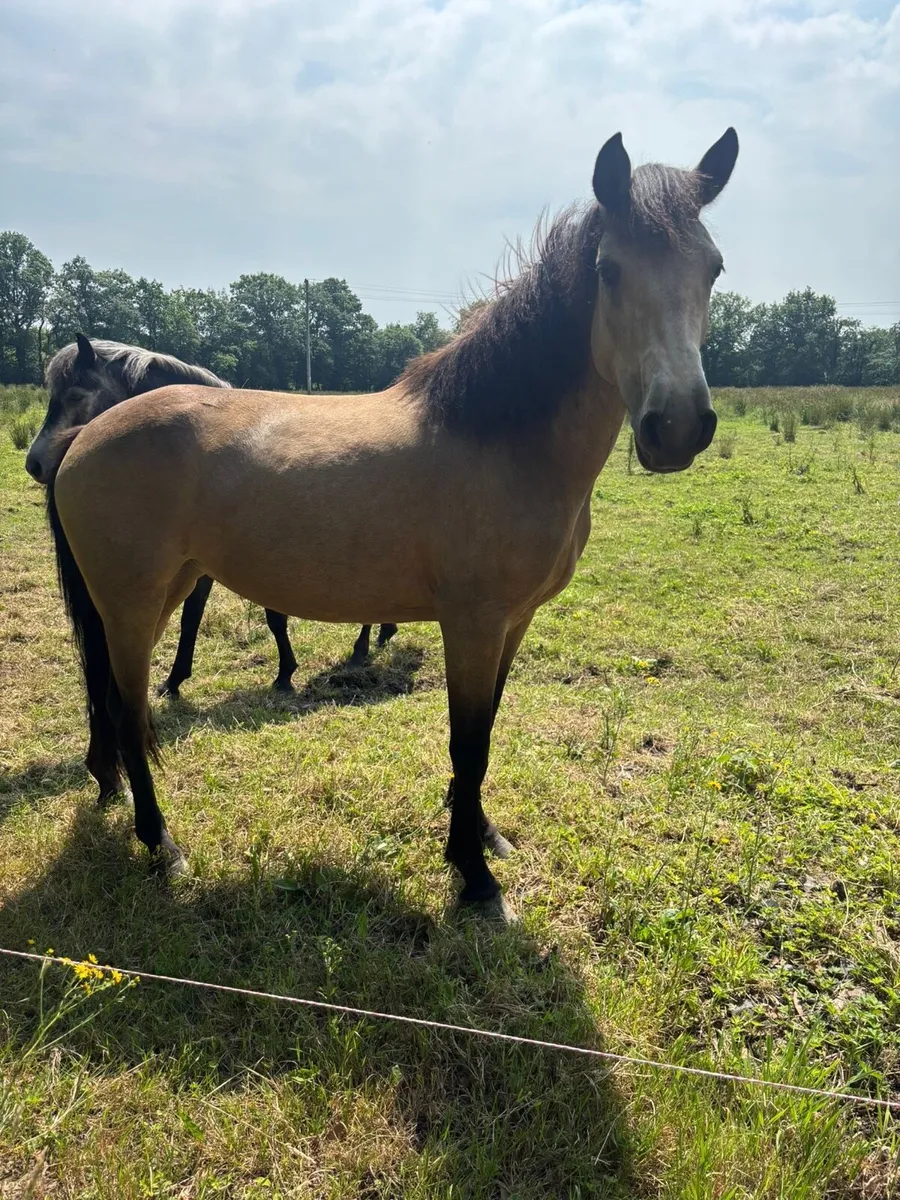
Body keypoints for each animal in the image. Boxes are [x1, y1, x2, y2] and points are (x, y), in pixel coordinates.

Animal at [25, 336, 396, 691]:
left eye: (75, 395)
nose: (35, 463)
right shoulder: (200, 563)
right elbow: (192, 616)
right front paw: (175, 680)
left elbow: (273, 617)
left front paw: (284, 674)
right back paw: (382, 631)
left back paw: (362, 647)